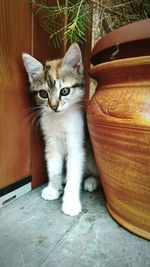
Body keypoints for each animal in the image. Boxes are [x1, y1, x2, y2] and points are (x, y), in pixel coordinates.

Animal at [21, 43, 98, 217]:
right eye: (43, 93)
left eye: (64, 91)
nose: (54, 106)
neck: (59, 119)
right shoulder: (51, 144)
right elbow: (54, 169)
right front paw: (53, 188)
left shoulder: (76, 146)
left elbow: (74, 174)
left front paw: (70, 202)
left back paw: (91, 181)